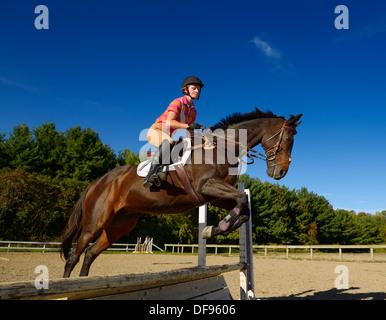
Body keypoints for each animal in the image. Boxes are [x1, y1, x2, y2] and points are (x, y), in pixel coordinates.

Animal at [61, 109, 302, 276]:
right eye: (288, 139)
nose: (281, 172)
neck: (223, 147)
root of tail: (97, 181)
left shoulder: (215, 195)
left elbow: (243, 210)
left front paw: (212, 230)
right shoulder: (206, 186)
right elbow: (243, 199)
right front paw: (214, 228)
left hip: (120, 224)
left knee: (90, 254)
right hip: (96, 221)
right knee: (74, 256)